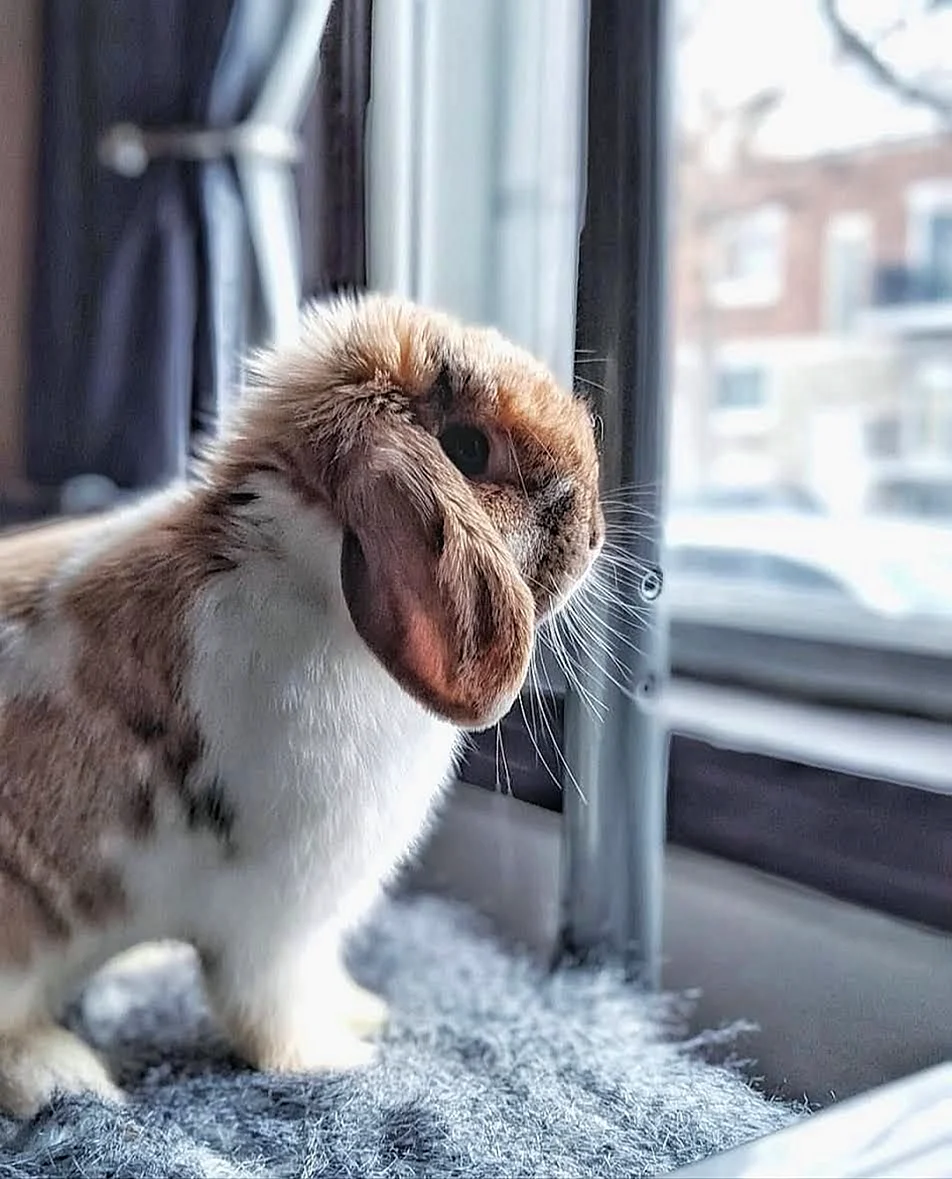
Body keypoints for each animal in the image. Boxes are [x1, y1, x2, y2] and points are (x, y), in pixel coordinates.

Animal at [0, 293, 604, 1117]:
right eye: (467, 448)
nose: (596, 533)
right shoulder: (273, 910)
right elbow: (265, 1002)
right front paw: (335, 1058)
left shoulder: (314, 920)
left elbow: (320, 974)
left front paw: (362, 1011)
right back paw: (67, 1077)